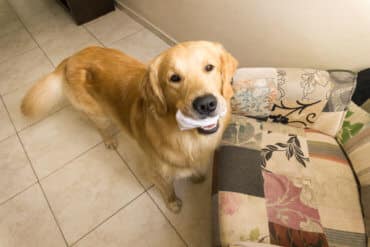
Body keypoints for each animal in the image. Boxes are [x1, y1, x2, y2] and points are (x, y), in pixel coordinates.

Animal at [21, 40, 238, 212]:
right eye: (174, 78)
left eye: (209, 67)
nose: (206, 104)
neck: (187, 138)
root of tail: (71, 58)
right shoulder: (157, 173)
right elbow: (168, 190)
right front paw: (173, 203)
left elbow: (197, 169)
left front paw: (198, 176)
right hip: (97, 113)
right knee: (100, 126)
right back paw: (109, 140)